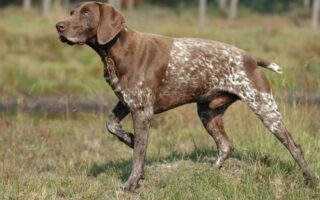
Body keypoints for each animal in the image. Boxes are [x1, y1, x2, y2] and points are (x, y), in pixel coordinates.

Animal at [56, 1, 316, 192]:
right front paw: (129, 138)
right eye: (71, 12)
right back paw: (208, 174)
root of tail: (251, 58)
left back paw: (310, 179)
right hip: (208, 112)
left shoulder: (142, 111)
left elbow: (139, 156)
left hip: (265, 109)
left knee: (294, 146)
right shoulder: (126, 101)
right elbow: (111, 124)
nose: (58, 26)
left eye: (86, 13)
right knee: (226, 146)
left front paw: (131, 183)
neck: (116, 49)